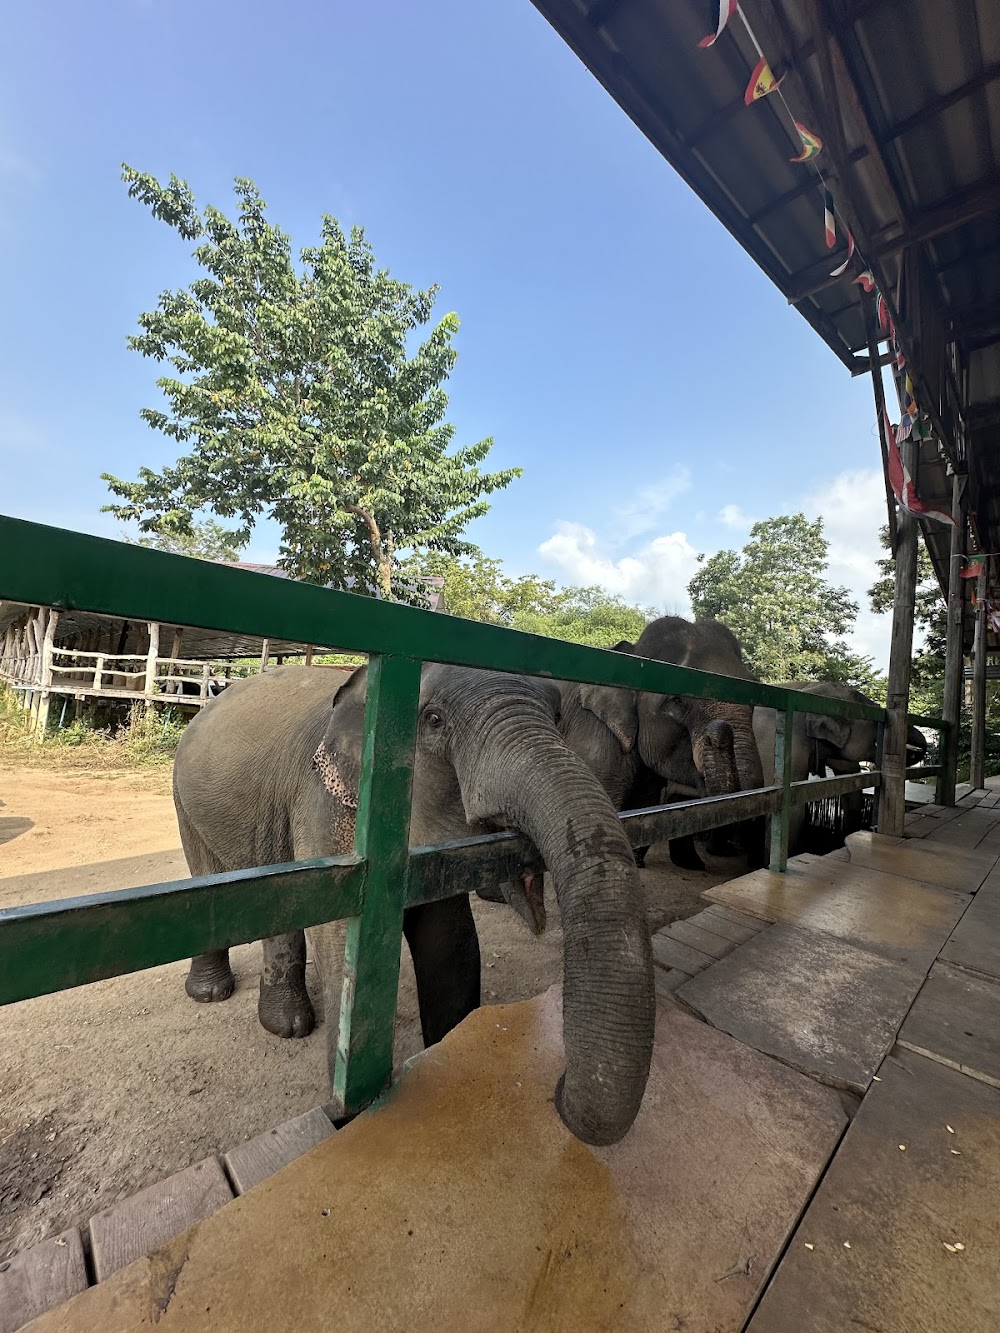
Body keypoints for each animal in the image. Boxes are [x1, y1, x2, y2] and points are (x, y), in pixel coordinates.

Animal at [172, 661, 658, 1141]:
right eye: (435, 720)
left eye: (557, 716)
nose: (557, 1090)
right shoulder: (327, 805)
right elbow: (339, 938)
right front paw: (346, 1117)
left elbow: (450, 937)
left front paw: (451, 1046)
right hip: (184, 798)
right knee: (210, 879)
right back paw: (227, 1001)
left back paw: (282, 1022)